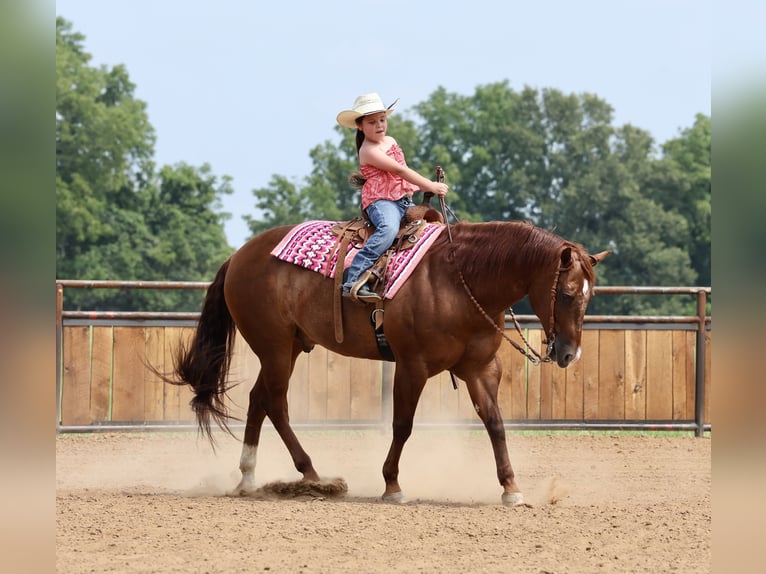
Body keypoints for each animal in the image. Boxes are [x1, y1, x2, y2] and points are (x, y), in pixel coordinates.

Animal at [166, 220, 609, 505]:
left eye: (590, 296)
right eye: (567, 293)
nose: (568, 354)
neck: (460, 278)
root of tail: (239, 256)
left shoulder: (481, 370)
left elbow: (496, 424)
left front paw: (511, 488)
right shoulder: (412, 366)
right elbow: (402, 424)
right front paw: (392, 485)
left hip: (288, 346)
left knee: (259, 399)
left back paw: (249, 476)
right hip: (273, 347)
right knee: (275, 402)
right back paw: (313, 476)